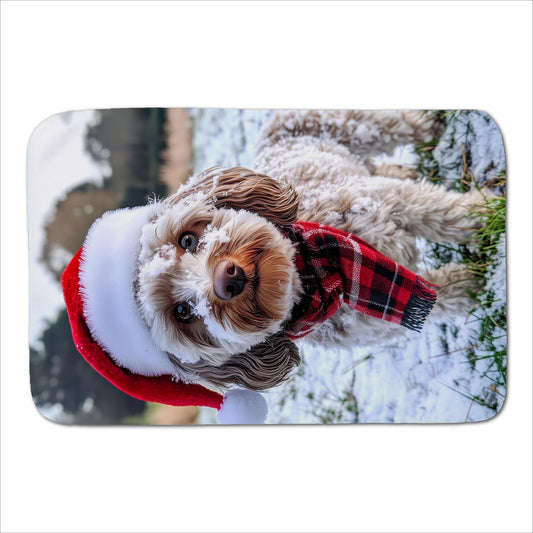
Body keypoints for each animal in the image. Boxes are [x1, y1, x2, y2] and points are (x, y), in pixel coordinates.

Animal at [132, 109, 482, 390]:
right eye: (183, 313)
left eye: (186, 240)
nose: (226, 279)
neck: (317, 274)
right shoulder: (383, 316)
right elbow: (443, 296)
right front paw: (474, 283)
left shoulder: (396, 203)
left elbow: (447, 214)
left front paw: (486, 213)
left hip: (352, 126)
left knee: (405, 126)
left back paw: (434, 124)